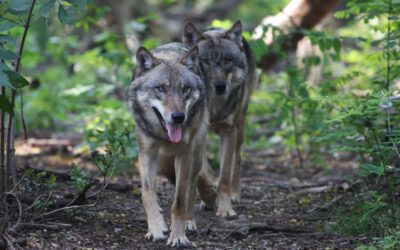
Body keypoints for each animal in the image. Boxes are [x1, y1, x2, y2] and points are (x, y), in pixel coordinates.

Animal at [127, 42, 209, 246]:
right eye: (161, 88)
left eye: (185, 89)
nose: (179, 117)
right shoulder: (146, 154)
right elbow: (148, 193)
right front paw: (156, 229)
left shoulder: (184, 155)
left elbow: (179, 200)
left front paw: (178, 237)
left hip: (196, 155)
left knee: (191, 187)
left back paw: (189, 221)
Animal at [182, 20, 258, 218]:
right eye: (205, 61)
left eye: (227, 60)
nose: (220, 86)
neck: (213, 106)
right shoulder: (195, 134)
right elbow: (201, 173)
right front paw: (207, 196)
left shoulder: (228, 131)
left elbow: (224, 176)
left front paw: (225, 208)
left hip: (240, 126)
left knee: (237, 160)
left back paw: (235, 194)